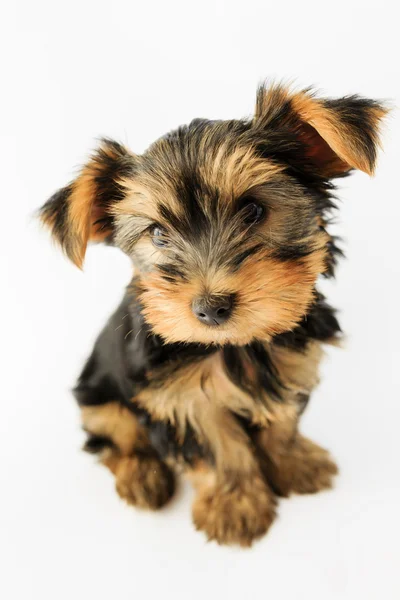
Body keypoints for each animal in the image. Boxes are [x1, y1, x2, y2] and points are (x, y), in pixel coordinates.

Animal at [39, 84, 386, 548]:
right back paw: (142, 475)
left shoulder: (295, 360)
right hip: (98, 394)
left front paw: (293, 463)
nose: (211, 308)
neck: (240, 344)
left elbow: (282, 420)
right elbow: (218, 447)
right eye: (158, 234)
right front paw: (235, 506)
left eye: (253, 210)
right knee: (115, 437)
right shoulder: (178, 397)